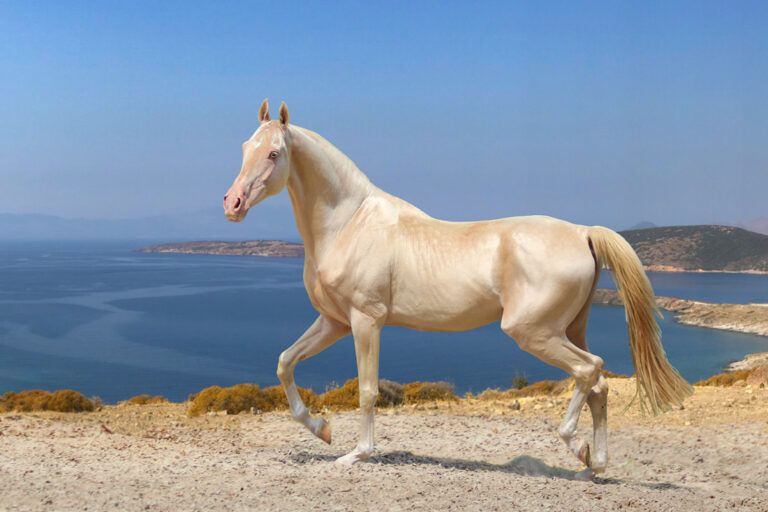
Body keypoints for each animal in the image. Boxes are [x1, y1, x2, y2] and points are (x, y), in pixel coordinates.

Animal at [222, 99, 692, 479]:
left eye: (274, 152)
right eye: (244, 148)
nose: (232, 204)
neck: (349, 223)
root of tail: (583, 233)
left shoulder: (365, 321)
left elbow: (368, 390)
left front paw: (357, 454)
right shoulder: (333, 322)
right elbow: (285, 363)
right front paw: (322, 431)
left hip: (534, 332)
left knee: (589, 369)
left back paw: (576, 445)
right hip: (568, 328)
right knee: (599, 386)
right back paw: (594, 464)